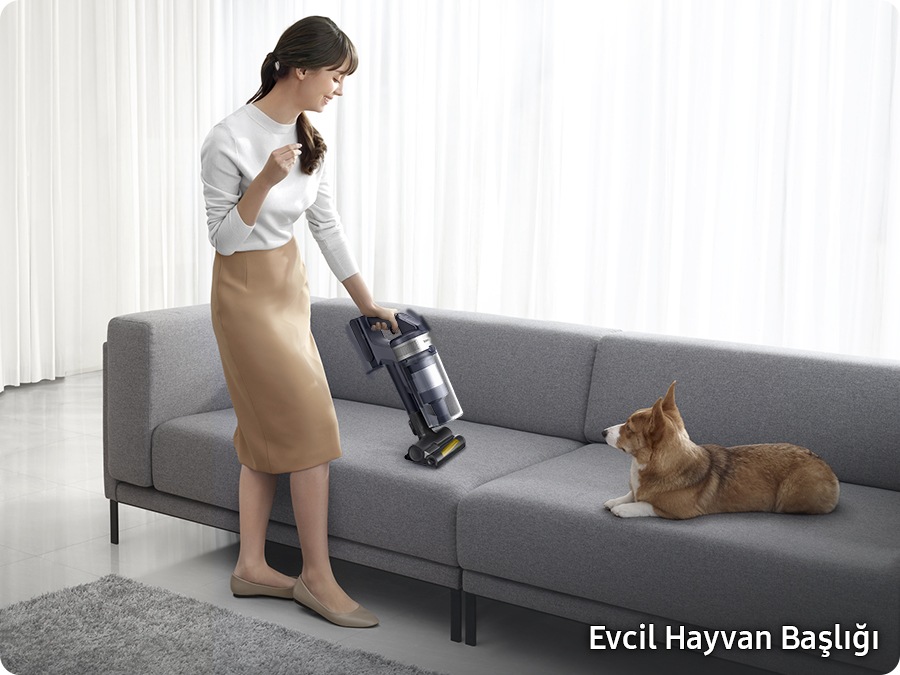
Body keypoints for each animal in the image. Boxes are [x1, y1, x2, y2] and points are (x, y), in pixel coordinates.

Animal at [600, 382, 840, 520]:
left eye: (629, 429)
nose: (603, 432)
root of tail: (828, 468)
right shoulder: (635, 489)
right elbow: (630, 494)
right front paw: (616, 501)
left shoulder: (677, 510)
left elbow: (646, 504)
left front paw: (624, 509)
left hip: (789, 497)